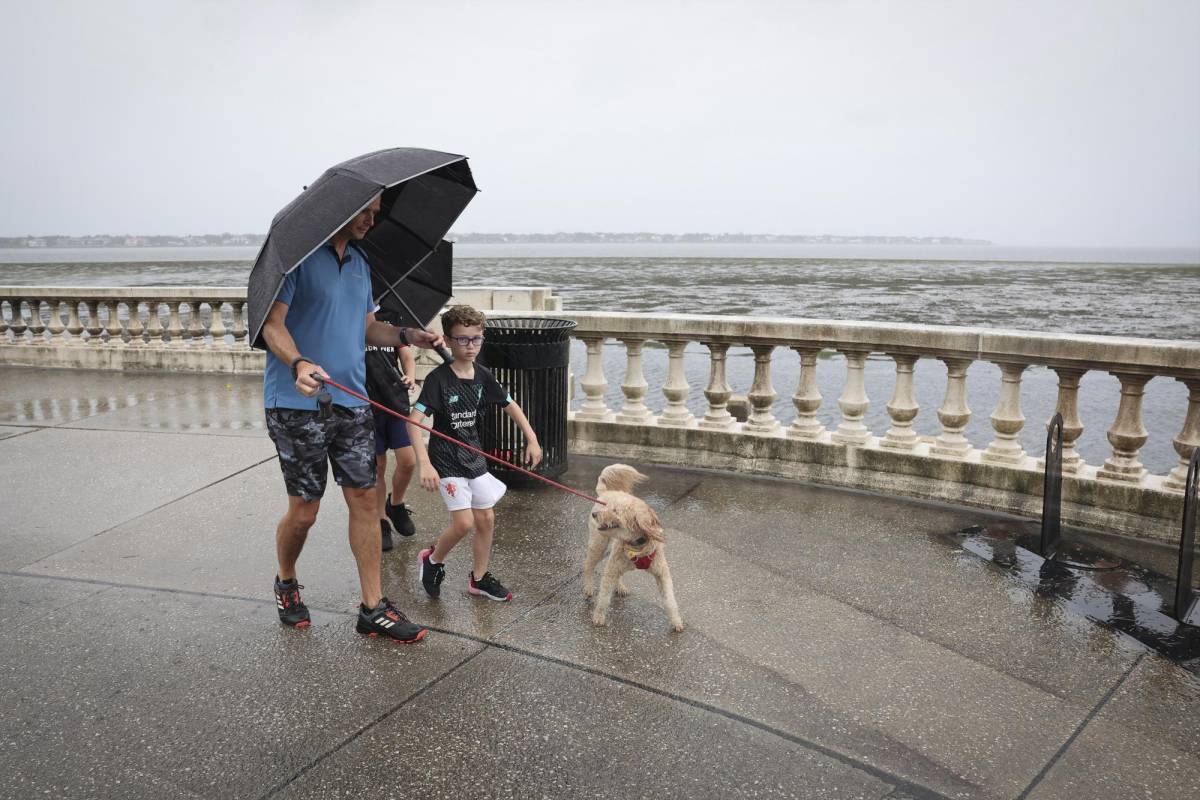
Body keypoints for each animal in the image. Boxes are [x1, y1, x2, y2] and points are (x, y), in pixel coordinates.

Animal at [580, 462, 686, 633]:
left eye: (615, 510)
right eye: (607, 507)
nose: (595, 515)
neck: (637, 545)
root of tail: (606, 492)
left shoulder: (662, 573)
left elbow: (670, 600)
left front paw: (676, 621)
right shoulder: (611, 569)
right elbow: (603, 598)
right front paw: (599, 617)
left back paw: (620, 586)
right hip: (598, 545)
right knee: (588, 565)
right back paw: (588, 587)